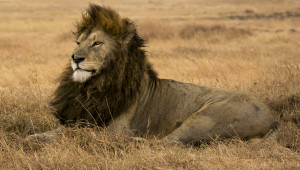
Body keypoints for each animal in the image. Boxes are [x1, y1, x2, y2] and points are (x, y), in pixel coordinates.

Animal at [28, 4, 278, 144]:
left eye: (97, 43)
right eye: (78, 43)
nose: (75, 58)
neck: (92, 87)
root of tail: (273, 116)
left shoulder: (113, 128)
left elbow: (74, 134)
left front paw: (38, 138)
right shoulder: (83, 116)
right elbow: (62, 129)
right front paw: (37, 135)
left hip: (207, 118)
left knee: (169, 143)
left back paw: (131, 142)